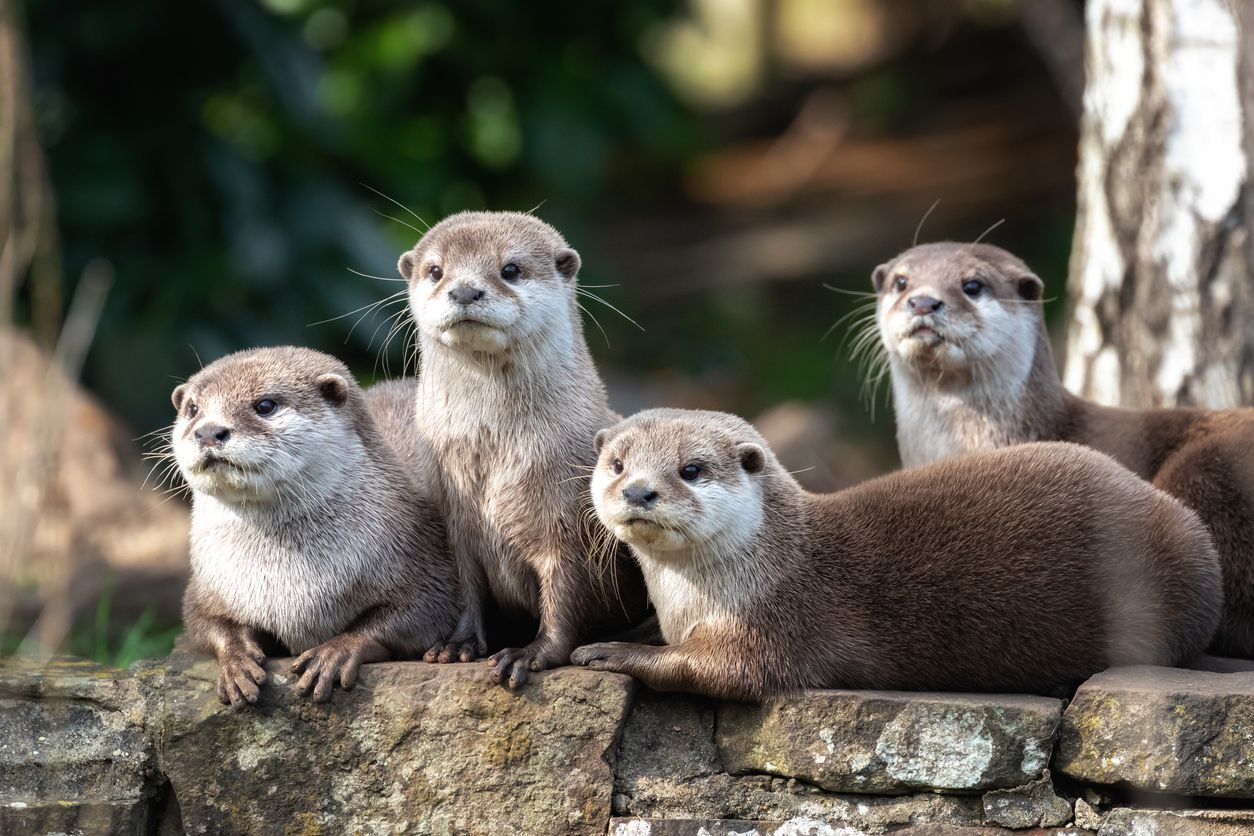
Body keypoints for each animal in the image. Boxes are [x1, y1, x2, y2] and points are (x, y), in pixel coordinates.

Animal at [170, 345, 456, 706]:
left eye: (265, 405)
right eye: (192, 409)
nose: (208, 431)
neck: (287, 582)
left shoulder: (420, 556)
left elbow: (424, 612)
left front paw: (336, 651)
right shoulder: (209, 584)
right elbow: (203, 620)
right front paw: (236, 660)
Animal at [396, 209, 647, 686]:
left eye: (510, 269)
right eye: (435, 271)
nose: (465, 290)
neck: (495, 458)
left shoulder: (569, 525)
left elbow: (567, 595)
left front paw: (531, 653)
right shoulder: (454, 519)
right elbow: (466, 588)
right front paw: (459, 644)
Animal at [574, 408, 1218, 701]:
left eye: (691, 469)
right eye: (617, 464)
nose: (638, 491)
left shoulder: (777, 622)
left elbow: (721, 671)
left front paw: (610, 652)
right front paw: (633, 632)